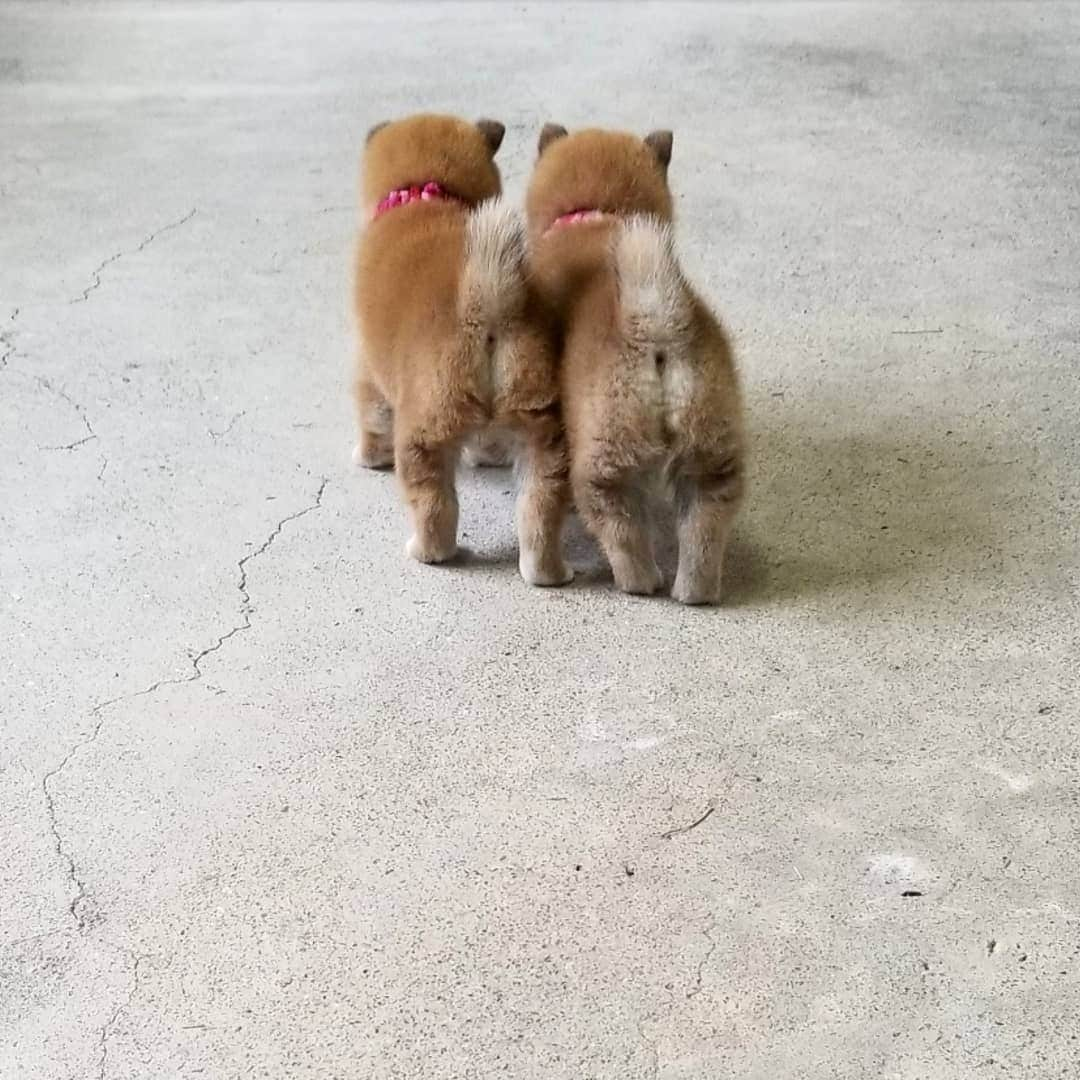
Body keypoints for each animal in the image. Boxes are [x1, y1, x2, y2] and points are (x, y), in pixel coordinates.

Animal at [356, 115, 574, 587]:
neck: (426, 191)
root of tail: (486, 302)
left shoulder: (364, 367)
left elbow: (371, 416)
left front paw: (367, 457)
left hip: (424, 437)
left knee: (435, 507)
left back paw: (426, 552)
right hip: (545, 439)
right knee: (540, 512)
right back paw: (548, 571)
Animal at [522, 124, 743, 609]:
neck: (596, 215)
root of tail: (653, 320)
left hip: (604, 459)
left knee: (620, 527)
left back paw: (639, 581)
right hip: (711, 458)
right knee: (704, 530)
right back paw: (694, 590)